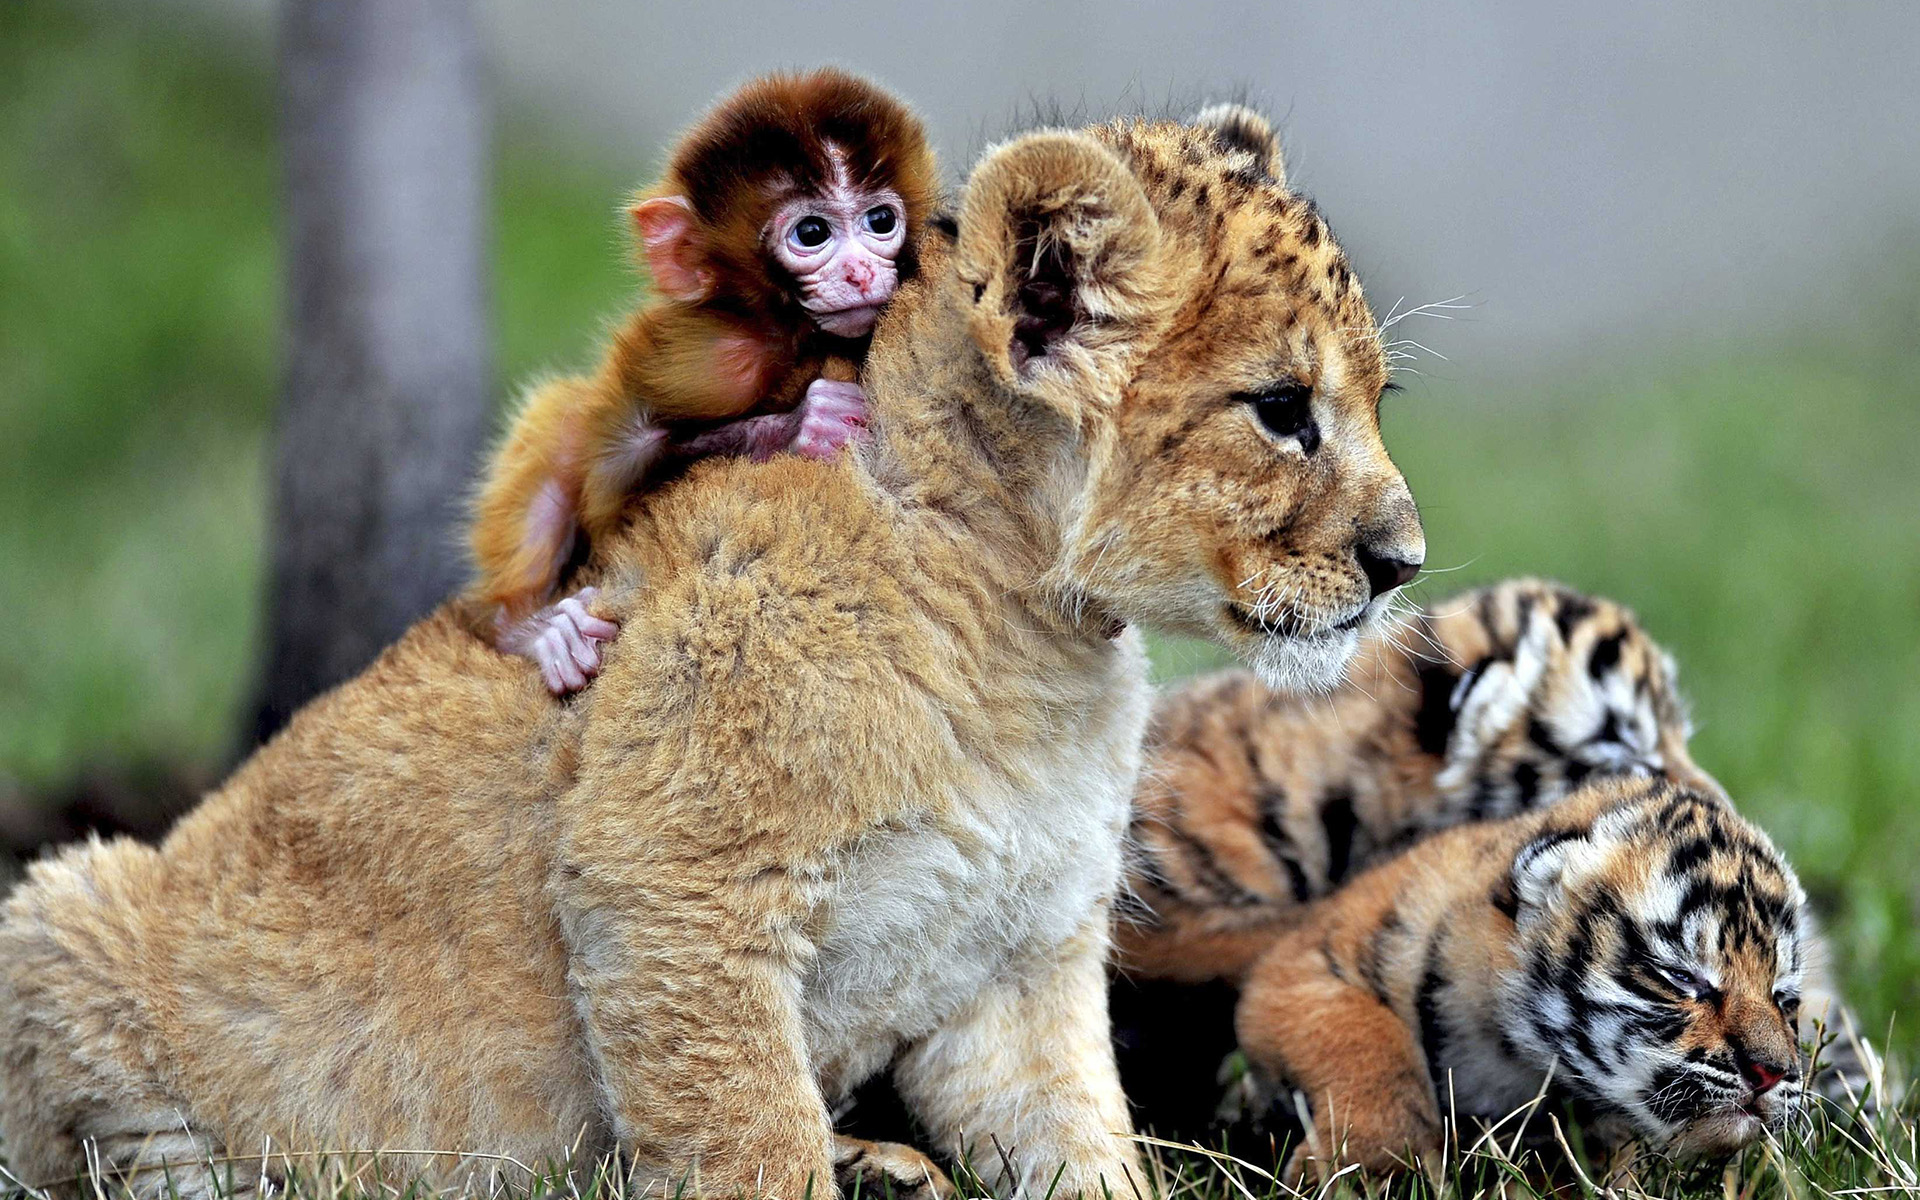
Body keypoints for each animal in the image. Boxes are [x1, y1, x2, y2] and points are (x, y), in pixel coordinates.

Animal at [468, 69, 940, 693]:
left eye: (880, 222)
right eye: (812, 232)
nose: (861, 271)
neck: (792, 333)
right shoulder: (713, 361)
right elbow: (614, 472)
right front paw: (806, 424)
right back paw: (527, 627)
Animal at [1237, 775, 1808, 1178]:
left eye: (1784, 999)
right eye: (1682, 977)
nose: (1772, 1073)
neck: (1513, 1058)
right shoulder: (1298, 966)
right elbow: (1363, 1039)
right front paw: (1365, 1169)